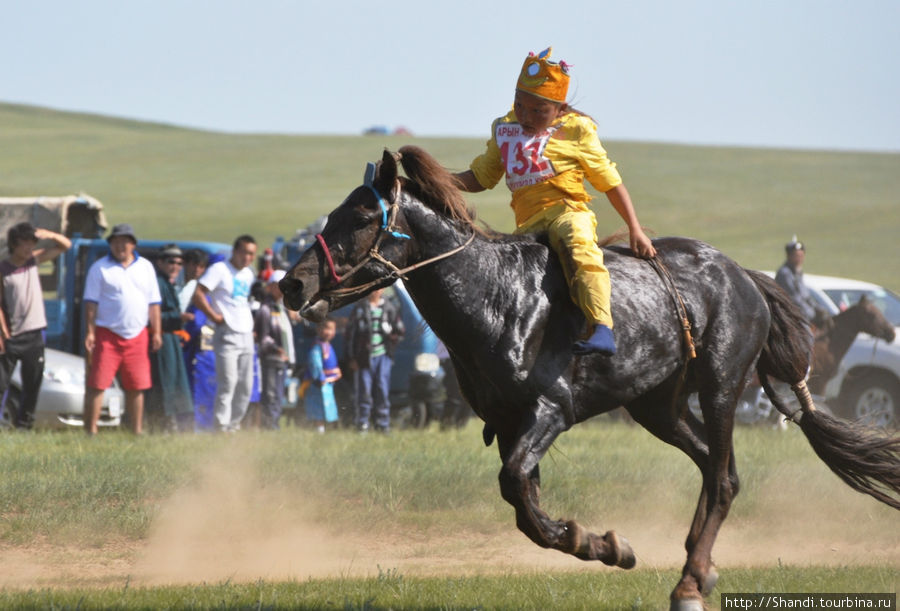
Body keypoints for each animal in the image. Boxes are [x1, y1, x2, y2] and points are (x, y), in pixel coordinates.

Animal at [280, 147, 900, 608]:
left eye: (362, 218)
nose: (291, 283)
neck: (496, 297)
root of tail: (744, 275)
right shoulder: (509, 422)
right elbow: (523, 503)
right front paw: (602, 544)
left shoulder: (549, 410)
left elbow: (515, 485)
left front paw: (595, 541)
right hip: (658, 406)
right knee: (712, 466)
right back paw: (698, 566)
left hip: (721, 386)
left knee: (723, 479)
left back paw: (691, 582)